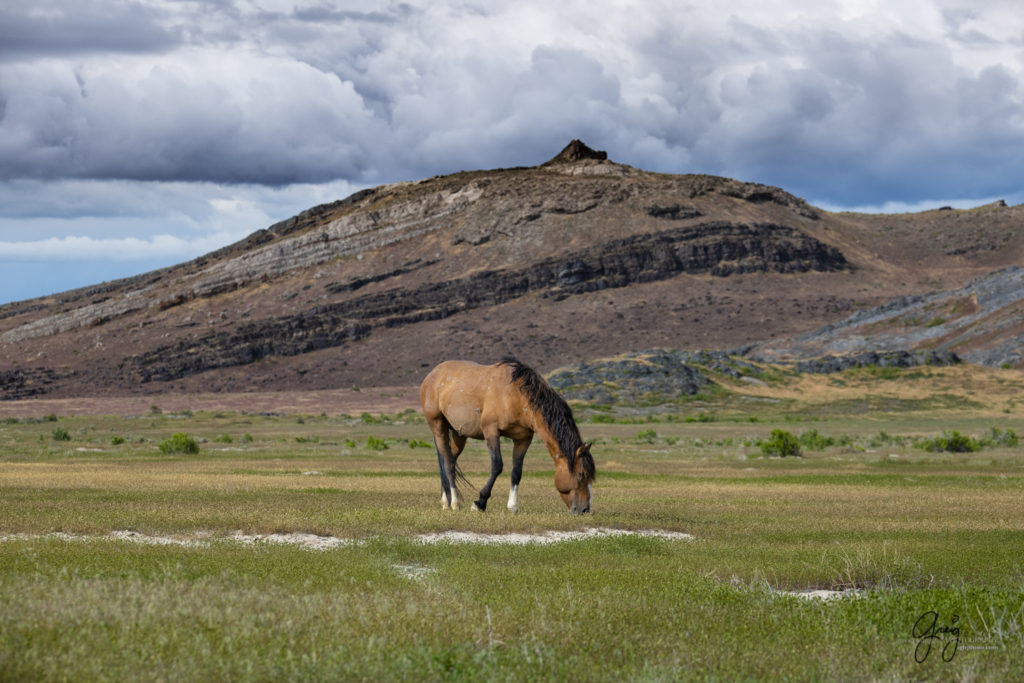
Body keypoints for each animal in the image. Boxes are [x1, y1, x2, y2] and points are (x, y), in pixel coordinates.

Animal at [419, 358, 598, 511]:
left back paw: (446, 500)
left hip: (459, 434)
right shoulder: (491, 431)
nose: (584, 509)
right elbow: (497, 465)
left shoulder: (523, 439)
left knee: (449, 460)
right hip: (438, 427)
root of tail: (432, 375)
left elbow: (517, 471)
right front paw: (480, 502)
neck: (516, 395)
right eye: (581, 474)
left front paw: (513, 506)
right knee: (448, 463)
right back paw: (453, 502)